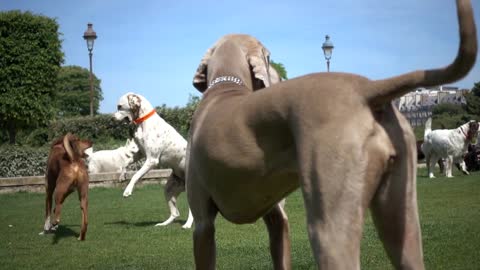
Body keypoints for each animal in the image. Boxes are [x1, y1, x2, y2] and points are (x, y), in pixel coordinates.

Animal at [113, 92, 194, 229]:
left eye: (120, 106)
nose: (112, 118)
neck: (144, 122)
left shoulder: (152, 160)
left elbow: (135, 175)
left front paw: (127, 190)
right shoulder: (140, 153)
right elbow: (126, 163)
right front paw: (122, 176)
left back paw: (187, 225)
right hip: (169, 190)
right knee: (175, 213)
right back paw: (162, 224)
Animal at [187, 1, 476, 268]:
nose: (279, 76)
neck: (225, 85)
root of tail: (366, 88)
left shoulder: (202, 224)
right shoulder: (278, 218)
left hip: (329, 219)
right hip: (401, 218)